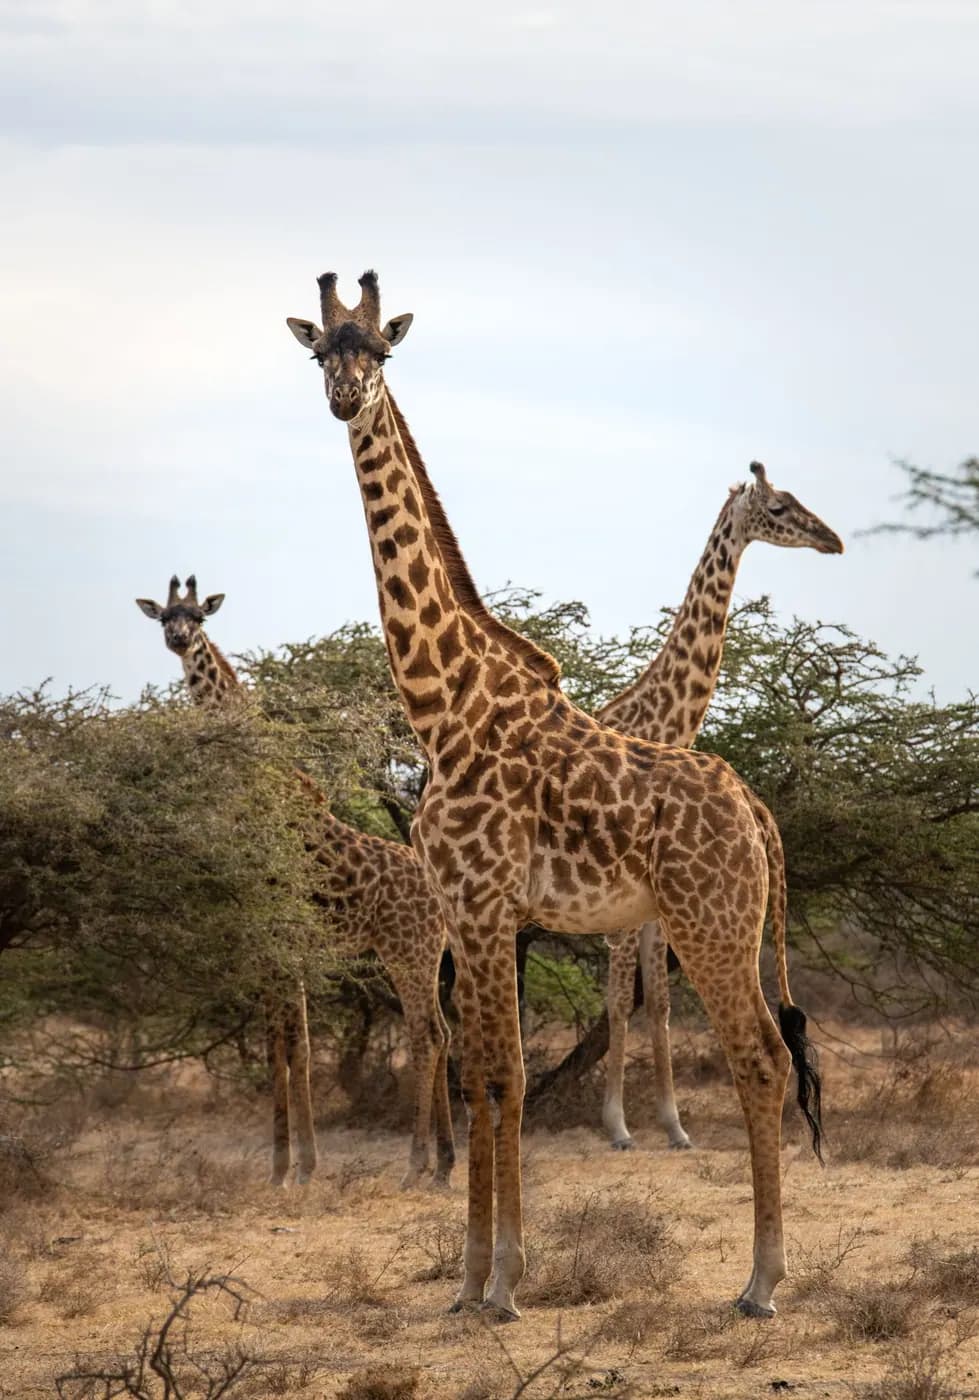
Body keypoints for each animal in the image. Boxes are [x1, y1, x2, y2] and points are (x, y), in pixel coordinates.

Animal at [135, 574, 455, 1190]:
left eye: (199, 617)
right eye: (163, 615)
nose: (178, 640)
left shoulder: (285, 944)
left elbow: (294, 1048)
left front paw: (300, 1166)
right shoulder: (270, 945)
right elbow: (283, 1048)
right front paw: (286, 1164)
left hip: (408, 950)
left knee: (427, 1036)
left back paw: (415, 1165)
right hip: (419, 954)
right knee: (445, 1032)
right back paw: (446, 1164)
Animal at [598, 465, 843, 1151]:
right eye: (780, 507)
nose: (833, 540)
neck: (662, 724)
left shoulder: (655, 906)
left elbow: (657, 1002)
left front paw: (674, 1125)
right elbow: (617, 999)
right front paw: (617, 1126)